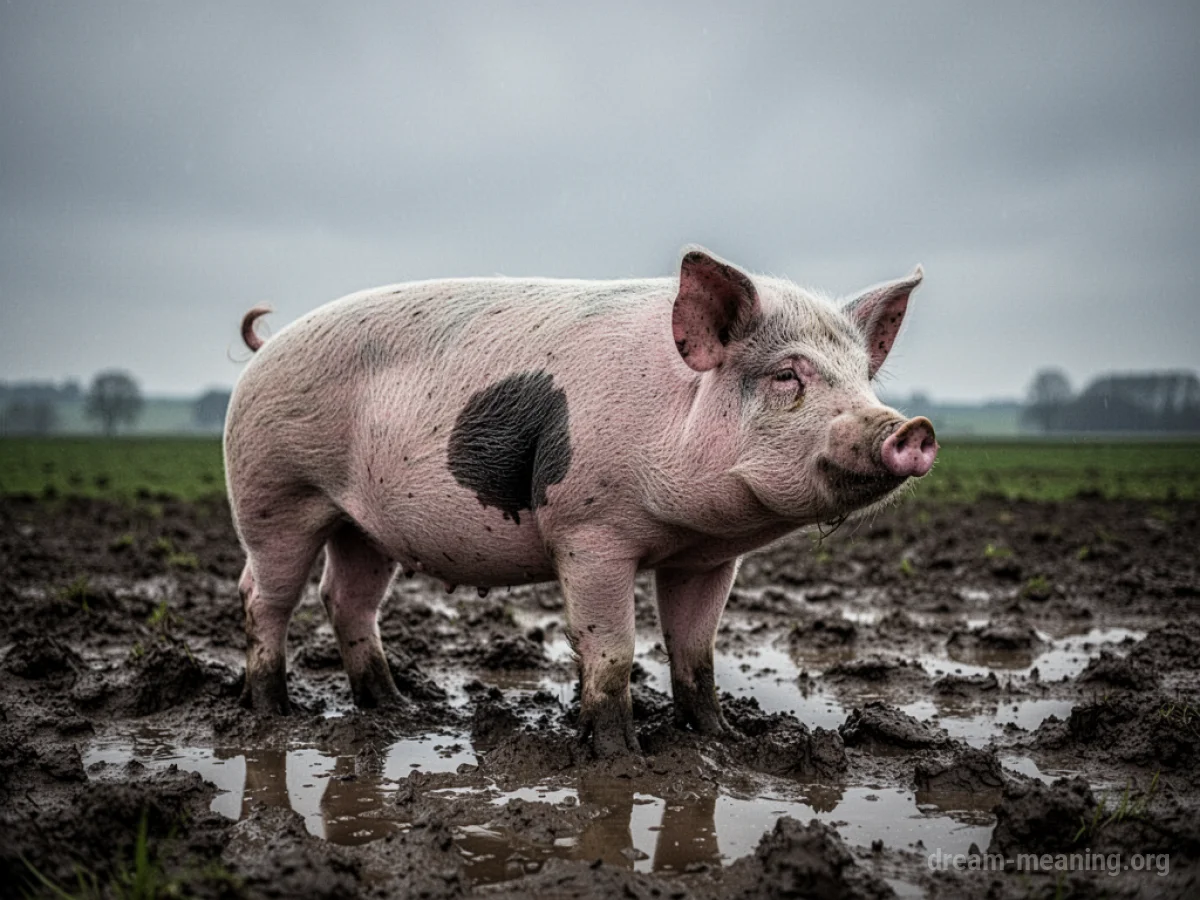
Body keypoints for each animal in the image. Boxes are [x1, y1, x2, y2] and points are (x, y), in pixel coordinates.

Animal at [224, 247, 937, 756]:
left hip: (362, 525)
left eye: (862, 377)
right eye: (788, 374)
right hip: (273, 494)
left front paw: (721, 739)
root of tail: (267, 346)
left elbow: (696, 650)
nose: (912, 429)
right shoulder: (589, 532)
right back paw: (273, 712)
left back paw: (397, 709)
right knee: (264, 596)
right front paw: (622, 758)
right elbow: (613, 649)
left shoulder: (707, 557)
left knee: (346, 599)